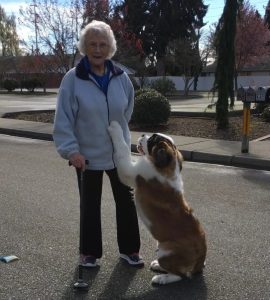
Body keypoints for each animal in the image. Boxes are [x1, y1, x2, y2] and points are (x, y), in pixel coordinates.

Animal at [107, 120, 207, 284]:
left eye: (152, 139)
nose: (142, 134)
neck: (166, 166)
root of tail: (201, 259)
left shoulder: (130, 171)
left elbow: (122, 149)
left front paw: (115, 127)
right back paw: (158, 267)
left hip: (166, 252)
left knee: (181, 275)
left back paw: (161, 278)